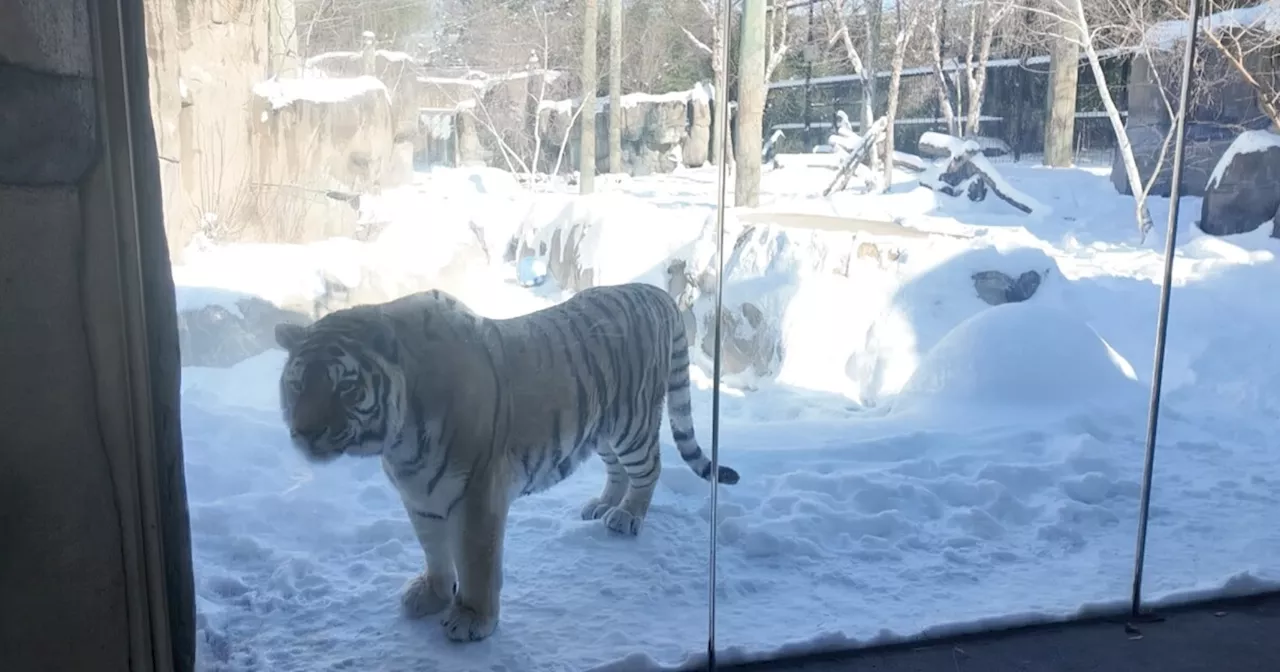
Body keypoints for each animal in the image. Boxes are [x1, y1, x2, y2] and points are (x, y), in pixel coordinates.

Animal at [275, 281, 747, 640]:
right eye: (297, 385)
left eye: (347, 388)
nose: (304, 432)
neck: (397, 443)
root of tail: (655, 291)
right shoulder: (420, 498)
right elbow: (433, 550)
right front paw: (432, 594)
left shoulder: (477, 493)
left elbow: (476, 561)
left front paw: (471, 619)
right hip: (602, 427)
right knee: (616, 468)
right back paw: (601, 505)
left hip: (631, 424)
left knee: (650, 468)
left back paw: (627, 516)